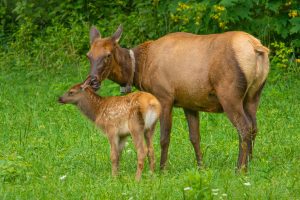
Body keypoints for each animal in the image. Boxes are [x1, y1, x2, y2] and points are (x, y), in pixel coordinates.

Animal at [84, 25, 270, 171]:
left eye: (108, 55)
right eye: (89, 55)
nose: (92, 81)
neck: (139, 69)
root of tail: (257, 48)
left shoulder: (164, 96)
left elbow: (164, 137)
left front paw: (162, 169)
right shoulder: (190, 102)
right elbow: (195, 137)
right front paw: (201, 167)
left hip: (229, 95)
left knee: (244, 128)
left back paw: (240, 168)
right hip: (253, 96)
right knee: (254, 127)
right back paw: (250, 163)